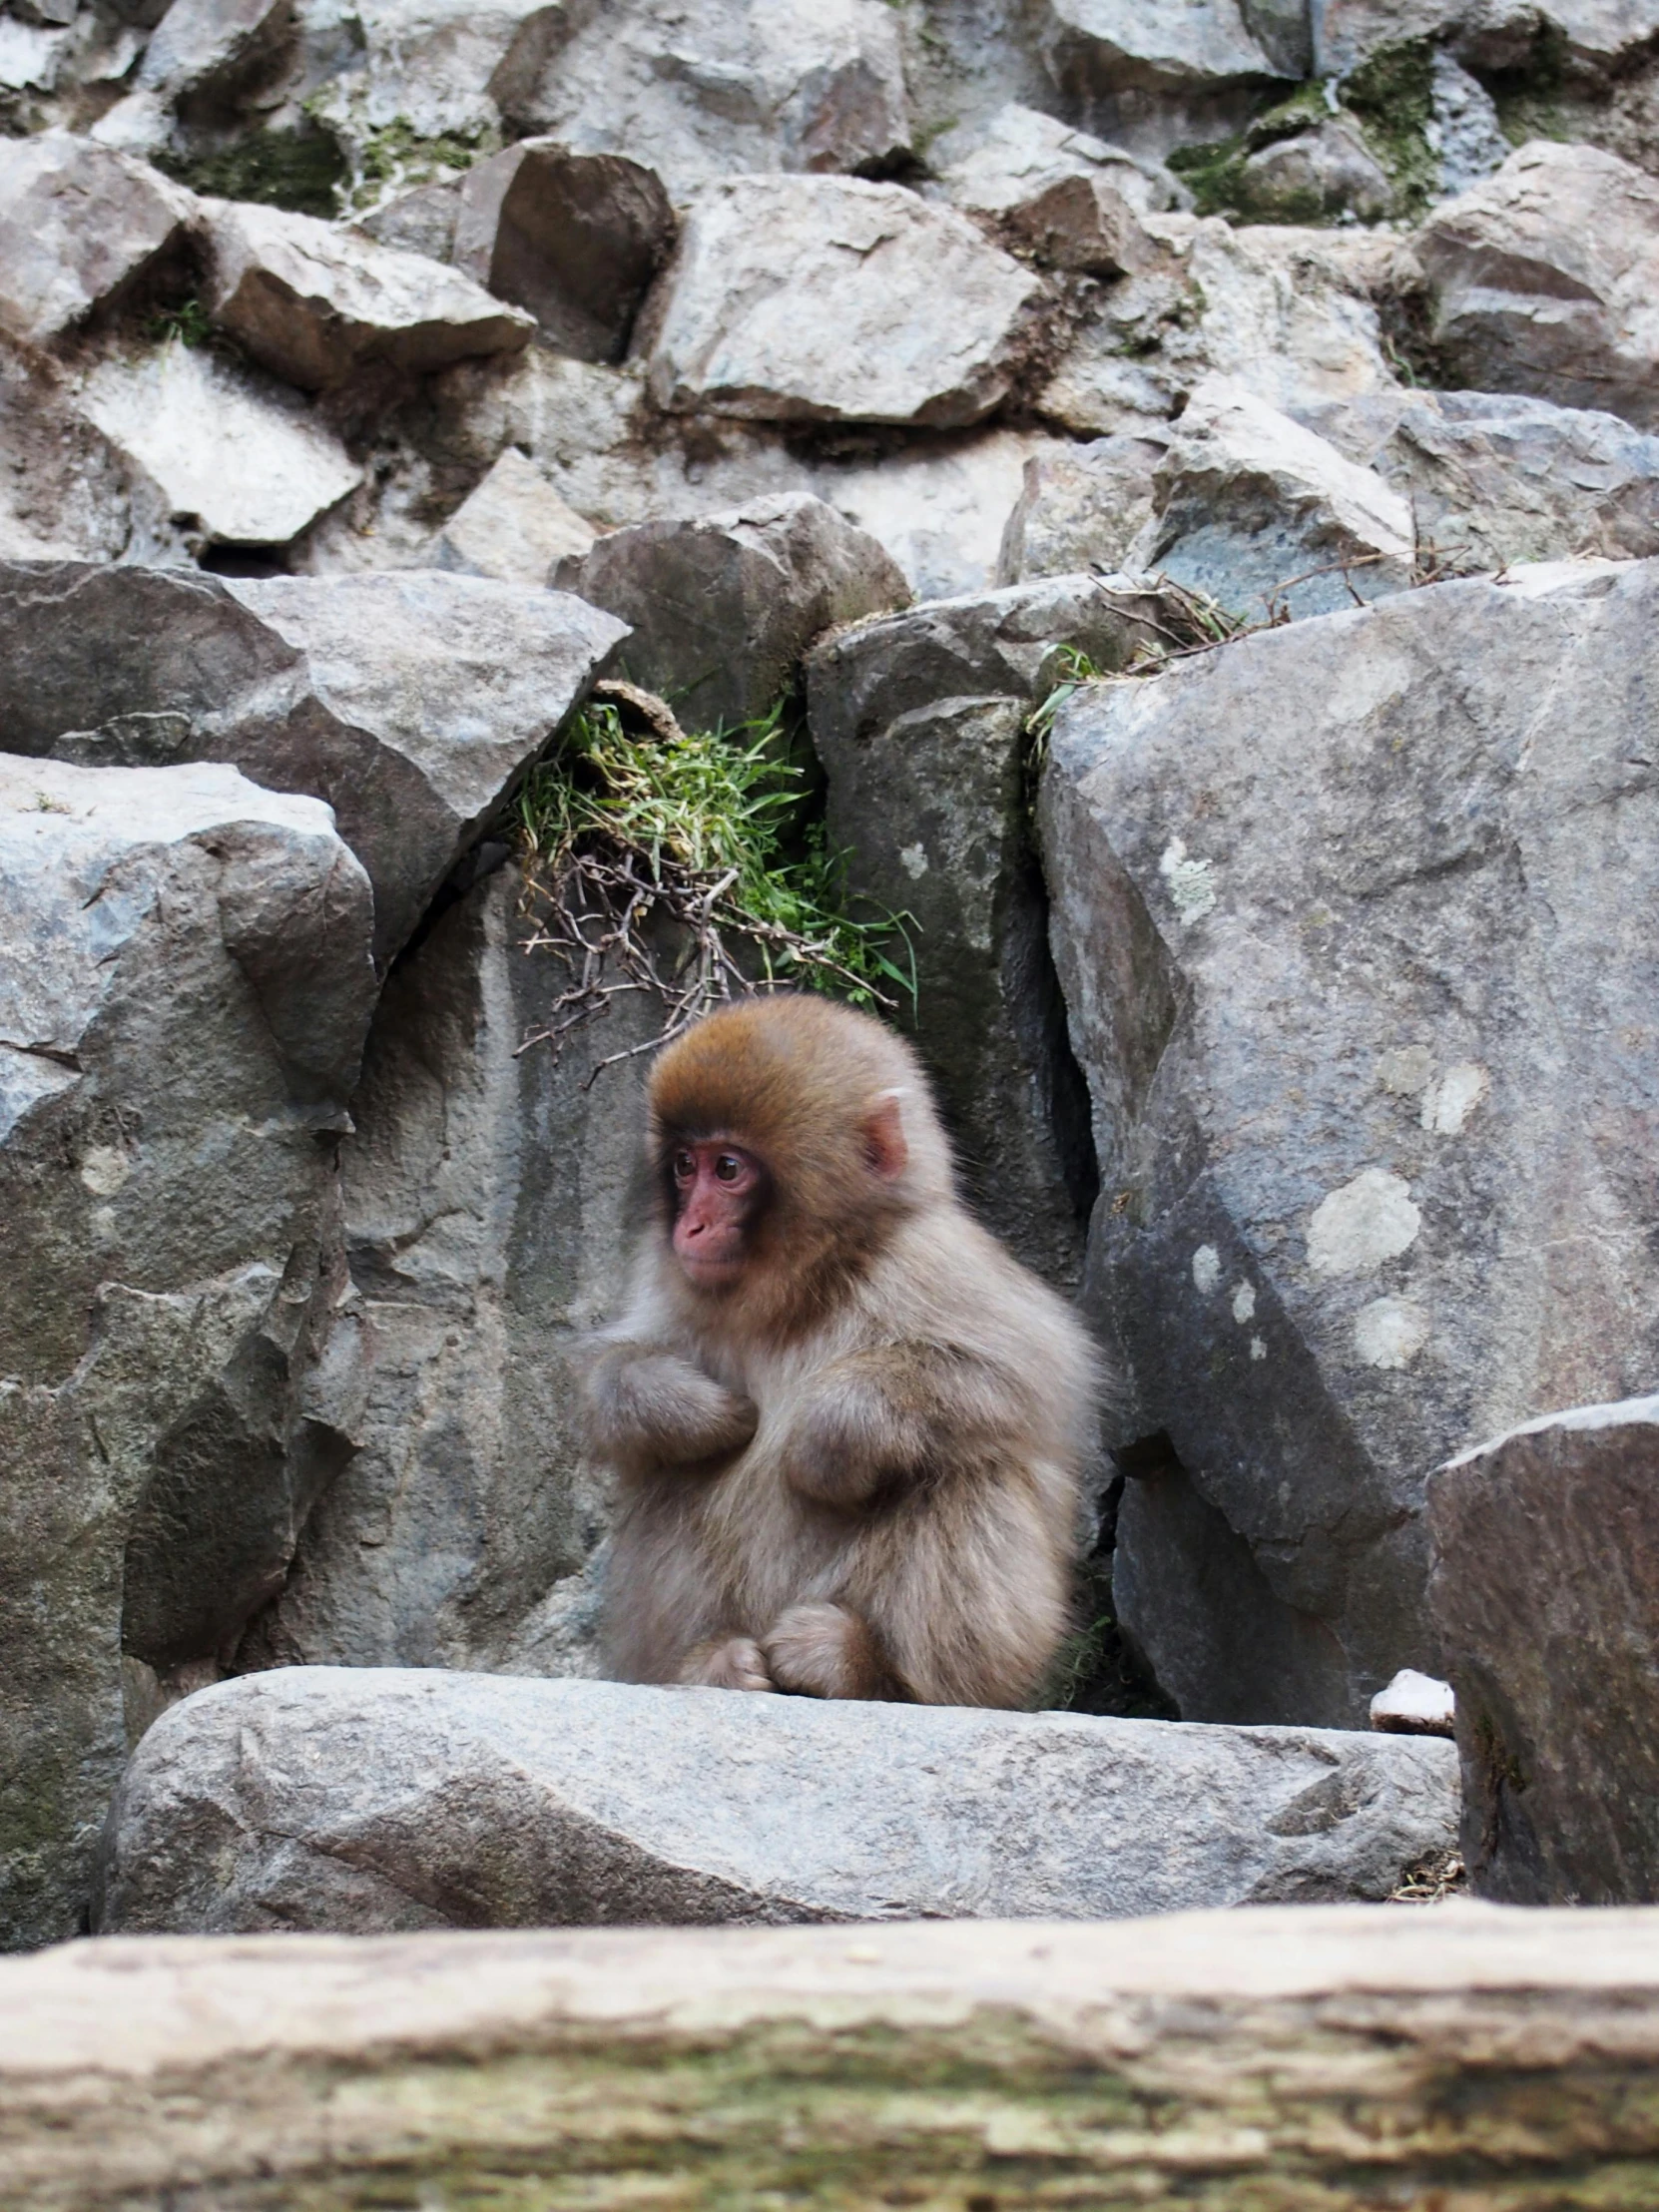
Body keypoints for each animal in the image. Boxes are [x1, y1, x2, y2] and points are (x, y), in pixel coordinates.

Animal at [584, 995, 1106, 1698]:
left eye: (728, 1168)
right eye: (684, 1165)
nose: (688, 1226)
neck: (806, 1284)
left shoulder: (930, 1256)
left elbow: (1035, 1376)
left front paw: (829, 1439)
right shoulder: (668, 1273)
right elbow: (609, 1375)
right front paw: (686, 1407)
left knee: (972, 1466)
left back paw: (869, 1668)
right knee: (671, 1472)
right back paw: (709, 1662)